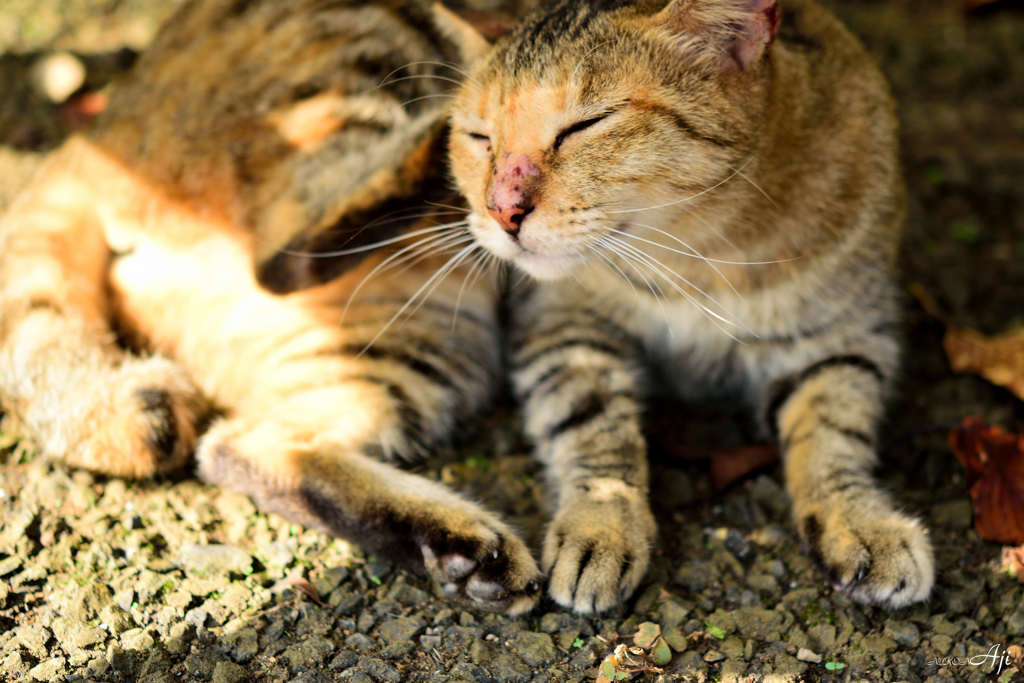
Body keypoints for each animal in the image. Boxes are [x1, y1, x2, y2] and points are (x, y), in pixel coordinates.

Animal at [0, 0, 544, 614]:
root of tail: (91, 138)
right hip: (361, 63)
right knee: (284, 248)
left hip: (420, 345)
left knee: (245, 444)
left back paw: (467, 553)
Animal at [448, 0, 937, 614]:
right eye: (478, 137)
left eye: (587, 124)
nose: (502, 210)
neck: (696, 257)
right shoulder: (561, 324)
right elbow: (592, 422)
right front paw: (601, 524)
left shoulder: (843, 334)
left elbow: (832, 432)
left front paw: (859, 519)